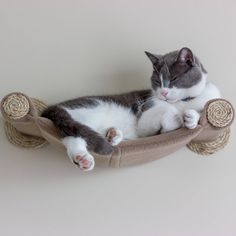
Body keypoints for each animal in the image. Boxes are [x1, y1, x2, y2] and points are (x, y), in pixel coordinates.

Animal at [41, 47, 220, 171]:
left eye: (174, 78)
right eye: (157, 81)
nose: (163, 92)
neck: (182, 101)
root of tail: (52, 107)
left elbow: (197, 112)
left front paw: (191, 118)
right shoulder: (145, 121)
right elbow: (166, 113)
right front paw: (177, 117)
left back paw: (109, 137)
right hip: (88, 110)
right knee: (73, 132)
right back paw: (82, 156)